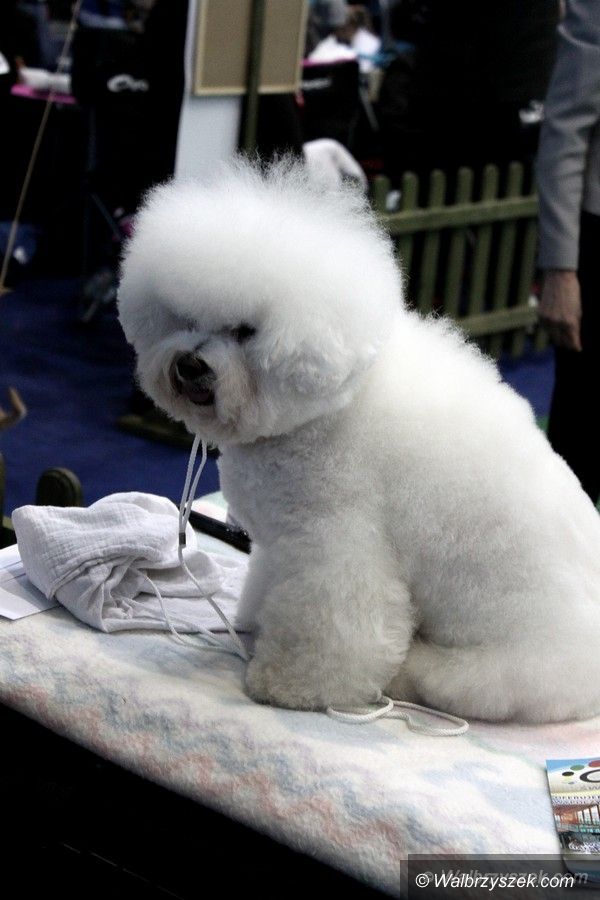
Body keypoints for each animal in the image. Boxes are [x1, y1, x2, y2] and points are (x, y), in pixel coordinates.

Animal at [118, 158, 600, 723]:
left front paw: (288, 684)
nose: (190, 365)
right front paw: (254, 627)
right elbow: (267, 586)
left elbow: (337, 623)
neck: (328, 407)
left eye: (246, 331)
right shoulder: (282, 545)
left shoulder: (336, 544)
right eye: (184, 319)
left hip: (500, 670)